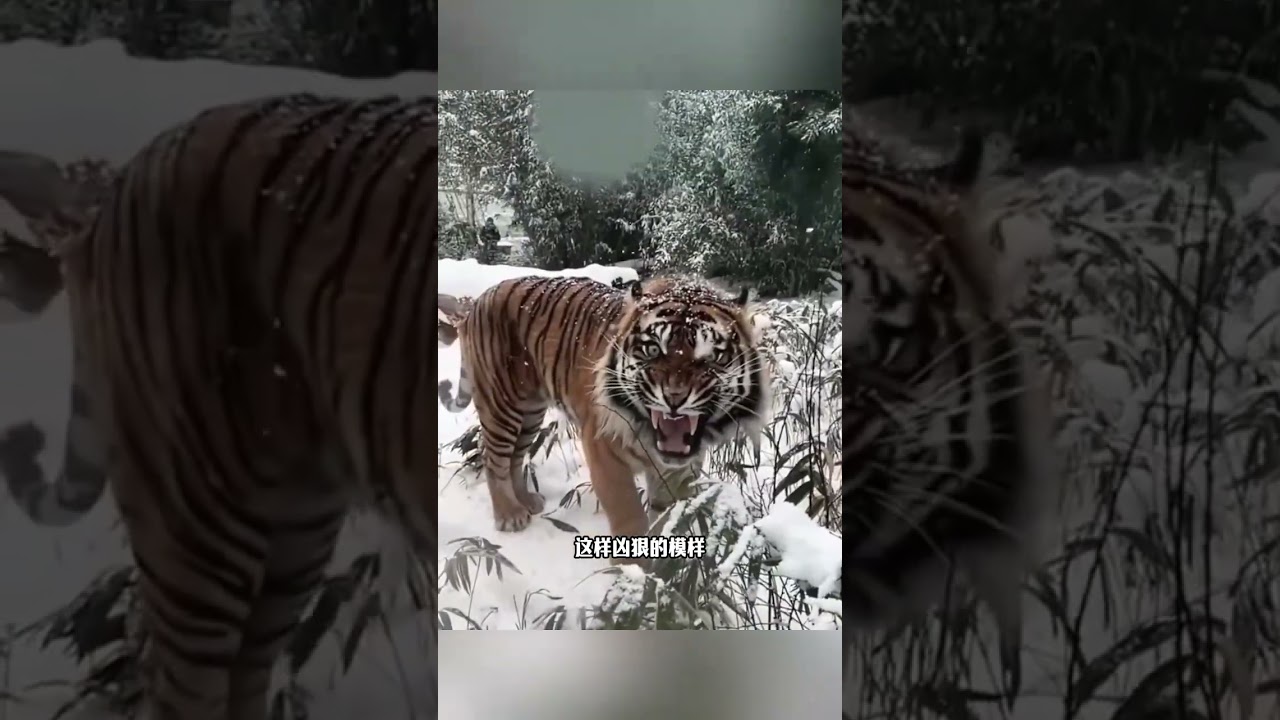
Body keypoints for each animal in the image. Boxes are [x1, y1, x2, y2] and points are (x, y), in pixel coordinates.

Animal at [436, 275, 770, 555]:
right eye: (653, 350)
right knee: (493, 457)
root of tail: (478, 300)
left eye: (711, 358)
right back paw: (509, 514)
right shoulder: (603, 451)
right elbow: (629, 516)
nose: (674, 398)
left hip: (530, 411)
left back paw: (528, 501)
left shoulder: (682, 470)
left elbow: (668, 517)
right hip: (502, 403)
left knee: (516, 457)